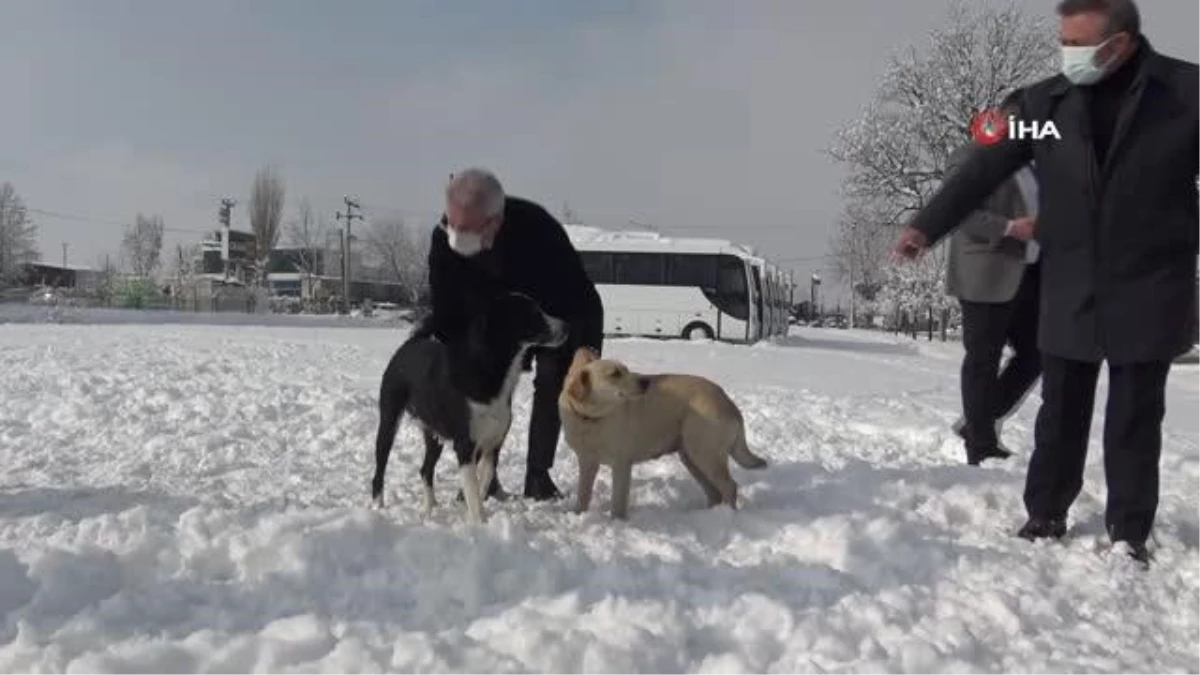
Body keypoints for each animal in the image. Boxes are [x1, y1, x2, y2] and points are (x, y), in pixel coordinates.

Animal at [369, 289, 566, 521]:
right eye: (532, 313)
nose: (566, 326)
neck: (490, 371)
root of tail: (412, 343)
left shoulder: (492, 443)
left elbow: (483, 480)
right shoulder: (464, 444)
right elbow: (472, 488)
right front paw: (478, 522)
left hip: (433, 432)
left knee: (425, 469)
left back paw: (431, 508)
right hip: (389, 421)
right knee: (380, 469)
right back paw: (378, 507)